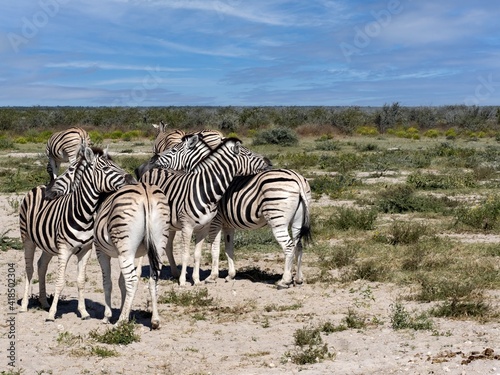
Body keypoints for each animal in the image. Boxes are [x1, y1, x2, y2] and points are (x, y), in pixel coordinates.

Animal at [19, 142, 135, 322]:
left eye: (116, 164)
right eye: (106, 168)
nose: (131, 179)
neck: (83, 213)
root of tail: (40, 186)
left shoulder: (85, 250)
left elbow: (81, 281)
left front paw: (84, 312)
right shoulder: (64, 250)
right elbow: (60, 281)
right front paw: (52, 314)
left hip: (48, 245)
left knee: (42, 265)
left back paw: (44, 302)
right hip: (28, 239)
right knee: (29, 269)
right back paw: (25, 305)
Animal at [141, 137, 272, 286]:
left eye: (173, 149)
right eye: (249, 154)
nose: (269, 162)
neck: (205, 189)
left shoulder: (208, 225)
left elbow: (205, 252)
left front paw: (201, 279)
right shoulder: (206, 225)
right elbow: (210, 250)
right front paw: (208, 277)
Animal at [155, 137, 312, 290]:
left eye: (173, 150)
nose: (154, 160)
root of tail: (298, 179)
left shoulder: (215, 222)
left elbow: (215, 248)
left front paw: (212, 277)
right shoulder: (228, 225)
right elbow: (228, 248)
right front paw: (230, 275)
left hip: (277, 219)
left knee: (289, 246)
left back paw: (284, 281)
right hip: (297, 221)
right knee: (298, 245)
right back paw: (298, 279)